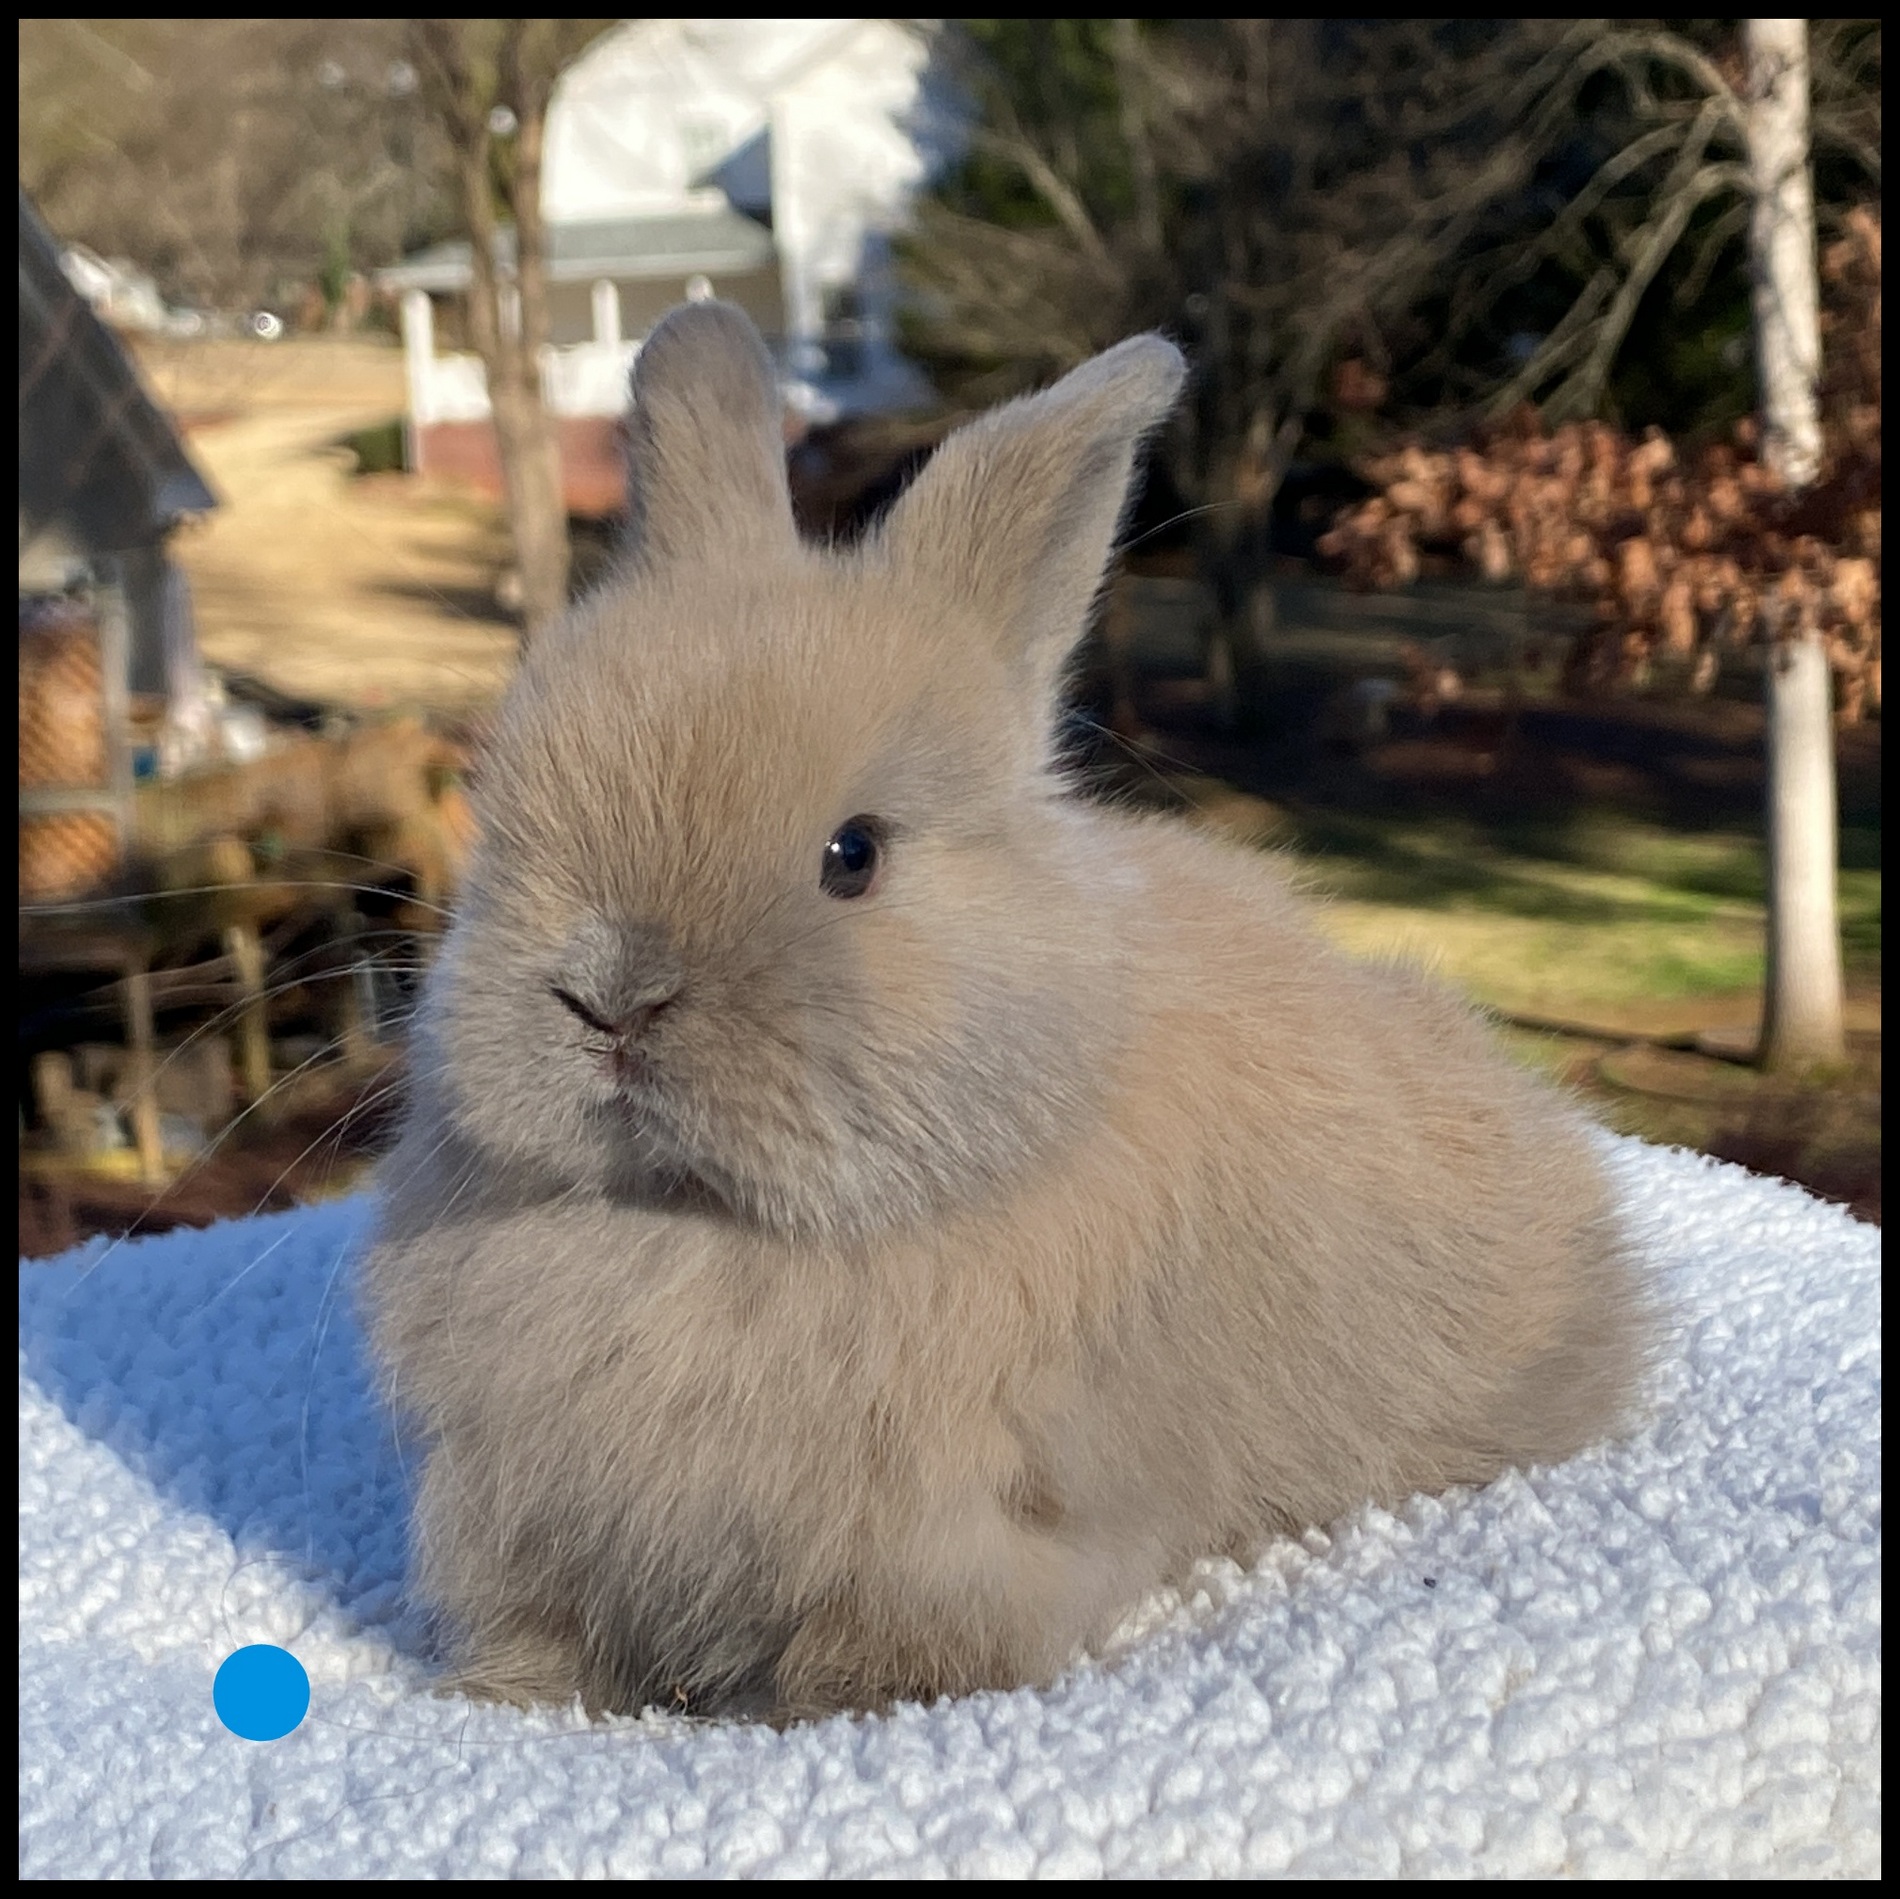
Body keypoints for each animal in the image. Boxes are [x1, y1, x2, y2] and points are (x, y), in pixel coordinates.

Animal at [357, 296, 1649, 1726]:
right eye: (505, 810)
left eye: (853, 856)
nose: (609, 997)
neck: (695, 1227)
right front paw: (511, 1698)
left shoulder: (950, 1546)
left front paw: (826, 1704)